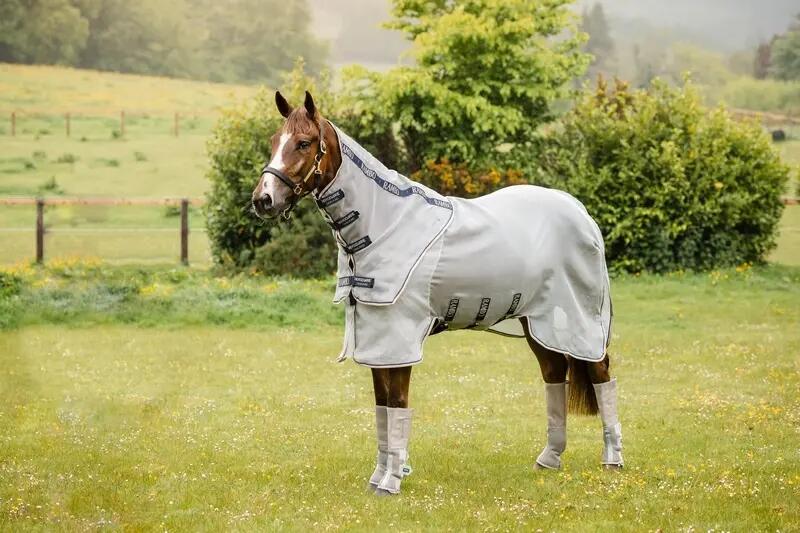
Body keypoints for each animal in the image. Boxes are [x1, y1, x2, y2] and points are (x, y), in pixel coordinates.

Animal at [251, 91, 624, 496]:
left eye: (303, 143)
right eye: (274, 141)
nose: (263, 199)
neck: (384, 224)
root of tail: (580, 212)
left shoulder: (398, 338)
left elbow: (398, 403)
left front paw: (391, 482)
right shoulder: (377, 339)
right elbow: (382, 407)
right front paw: (378, 477)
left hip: (579, 319)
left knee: (601, 374)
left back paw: (613, 460)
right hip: (537, 323)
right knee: (555, 374)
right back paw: (549, 459)